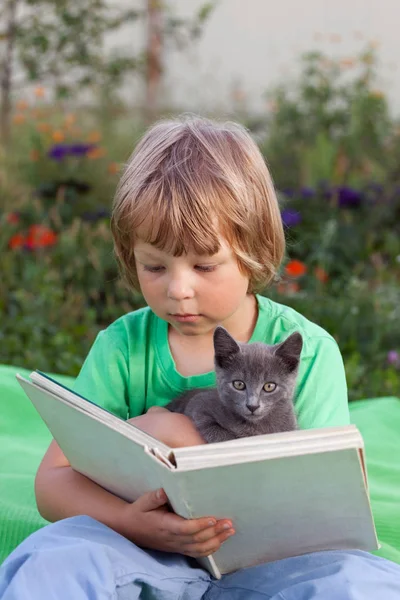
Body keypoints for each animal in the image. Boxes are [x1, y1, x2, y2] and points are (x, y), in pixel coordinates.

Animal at [166, 326, 304, 442]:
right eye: (239, 384)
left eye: (269, 386)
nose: (252, 406)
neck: (255, 426)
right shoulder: (198, 405)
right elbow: (220, 434)